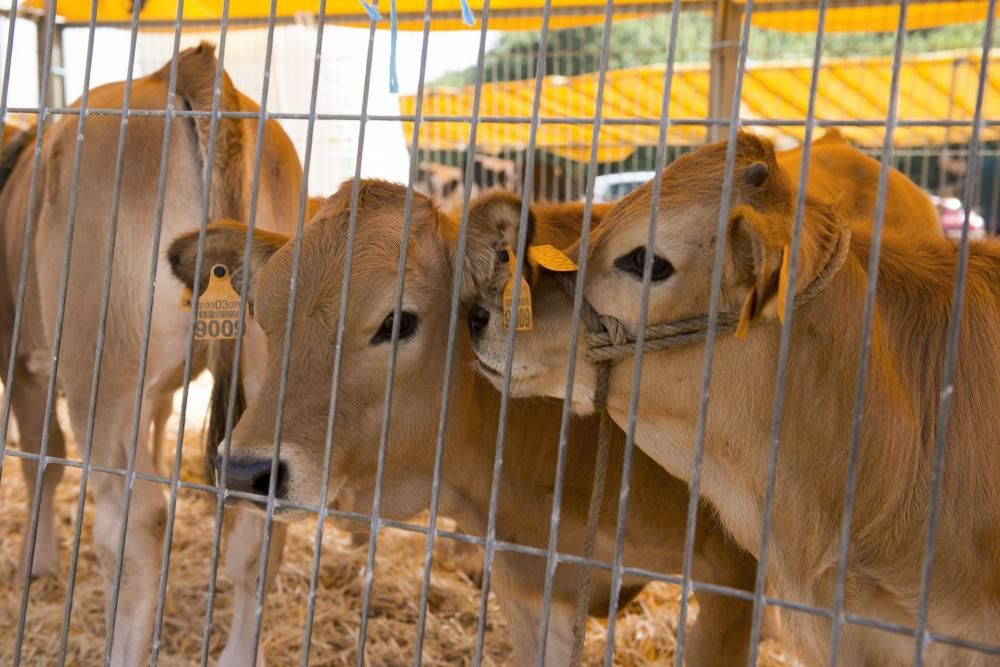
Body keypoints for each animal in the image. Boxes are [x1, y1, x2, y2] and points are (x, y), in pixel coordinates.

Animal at [4, 44, 300, 664]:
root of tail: (178, 68)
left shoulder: (18, 357)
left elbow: (40, 458)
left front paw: (35, 563)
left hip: (102, 370)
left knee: (133, 527)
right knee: (259, 528)